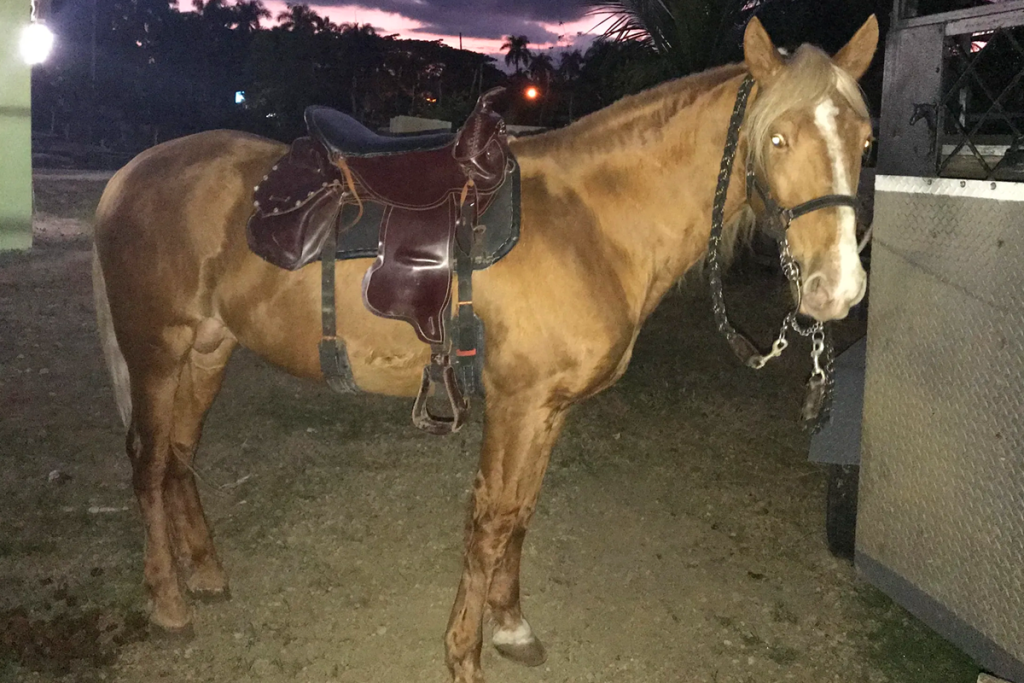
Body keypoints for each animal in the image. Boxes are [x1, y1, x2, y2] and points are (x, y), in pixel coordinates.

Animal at [91, 16, 878, 683]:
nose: (837, 288)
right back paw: (169, 602)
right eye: (777, 140)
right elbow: (492, 519)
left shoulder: (549, 410)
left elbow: (520, 514)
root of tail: (132, 172)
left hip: (206, 351)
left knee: (180, 458)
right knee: (147, 463)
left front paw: (511, 626)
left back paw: (205, 573)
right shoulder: (516, 405)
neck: (593, 223)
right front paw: (464, 653)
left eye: (865, 142)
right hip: (157, 352)